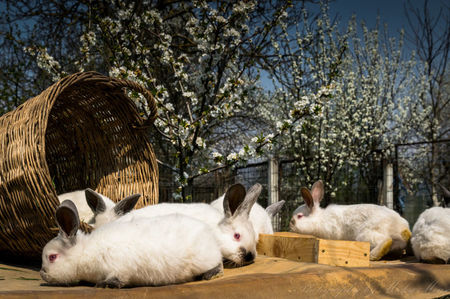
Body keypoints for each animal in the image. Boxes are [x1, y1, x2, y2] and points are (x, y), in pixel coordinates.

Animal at [41, 200, 224, 288]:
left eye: (52, 257)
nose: (43, 274)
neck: (85, 252)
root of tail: (208, 233)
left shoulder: (120, 267)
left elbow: (118, 278)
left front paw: (105, 285)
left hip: (204, 260)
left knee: (218, 264)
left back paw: (209, 275)